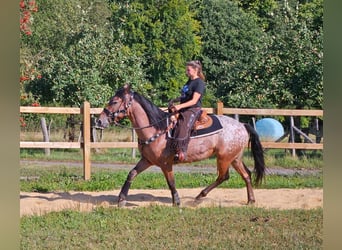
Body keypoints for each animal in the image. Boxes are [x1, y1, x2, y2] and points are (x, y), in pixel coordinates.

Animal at [96, 84, 268, 207]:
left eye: (114, 101)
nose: (99, 120)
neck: (157, 129)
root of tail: (242, 125)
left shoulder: (166, 164)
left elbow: (171, 182)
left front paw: (177, 201)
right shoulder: (147, 160)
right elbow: (131, 173)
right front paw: (121, 199)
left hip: (224, 158)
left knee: (223, 176)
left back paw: (199, 197)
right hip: (235, 158)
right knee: (246, 175)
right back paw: (251, 200)